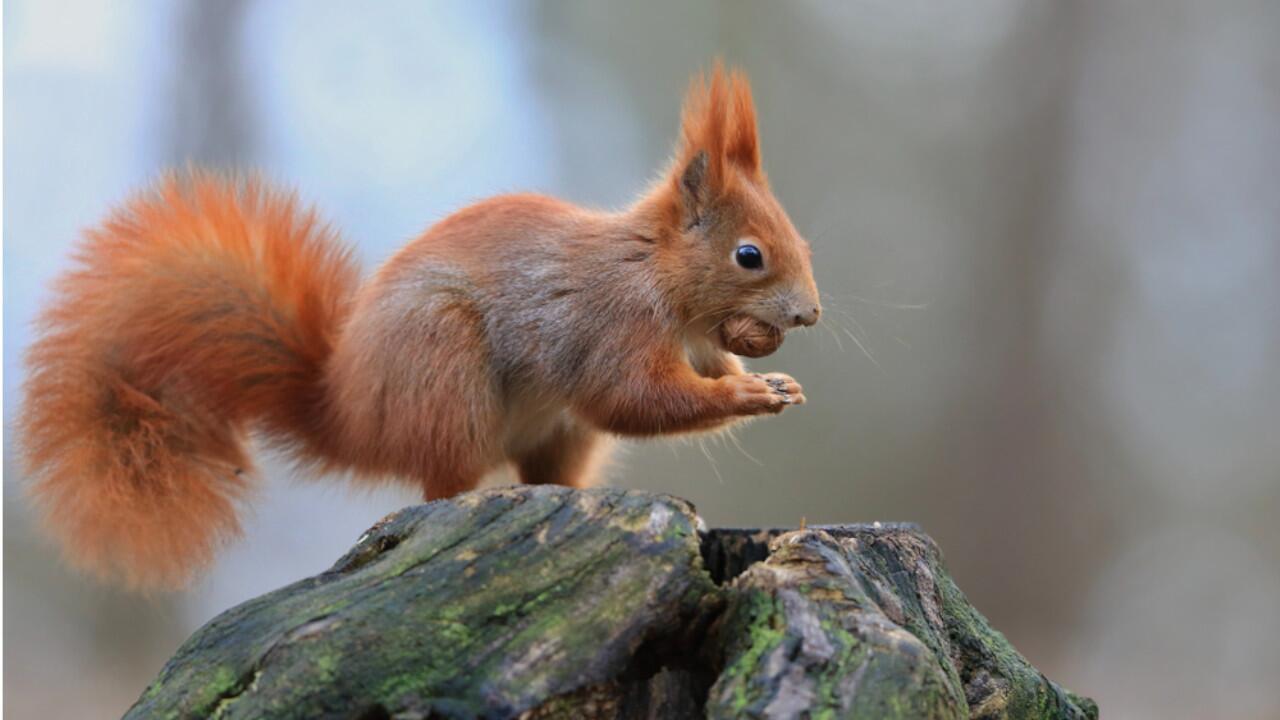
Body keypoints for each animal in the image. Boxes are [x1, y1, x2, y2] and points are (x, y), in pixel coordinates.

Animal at [17, 63, 819, 589]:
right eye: (749, 255)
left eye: (801, 243)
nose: (810, 313)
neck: (657, 273)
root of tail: (352, 414)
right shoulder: (611, 323)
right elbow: (633, 398)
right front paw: (749, 396)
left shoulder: (696, 342)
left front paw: (774, 381)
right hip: (445, 372)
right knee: (442, 485)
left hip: (551, 430)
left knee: (545, 472)